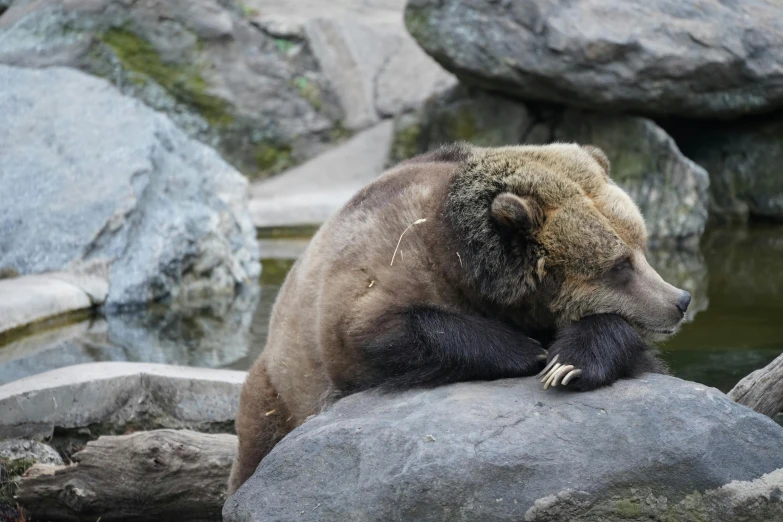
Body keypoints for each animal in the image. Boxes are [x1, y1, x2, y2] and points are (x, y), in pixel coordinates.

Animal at [227, 142, 692, 492]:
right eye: (619, 265)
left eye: (641, 245)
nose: (681, 299)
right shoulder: (374, 272)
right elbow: (374, 334)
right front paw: (528, 351)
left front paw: (568, 362)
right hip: (280, 390)